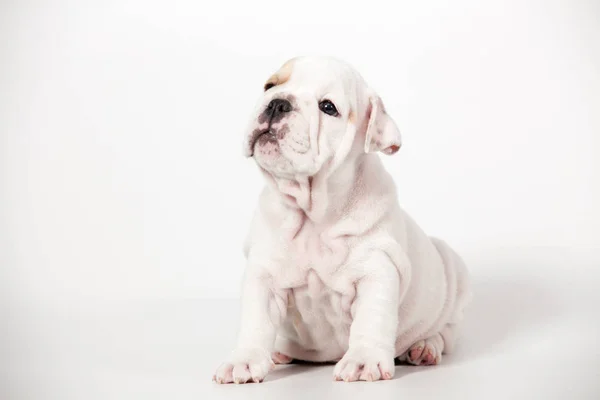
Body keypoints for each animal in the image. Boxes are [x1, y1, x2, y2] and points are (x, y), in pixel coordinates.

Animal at [213, 56, 472, 384]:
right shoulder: (263, 273)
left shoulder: (377, 270)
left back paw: (424, 346)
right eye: (269, 86)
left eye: (328, 107)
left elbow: (372, 319)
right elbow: (255, 321)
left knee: (445, 331)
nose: (278, 103)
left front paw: (363, 360)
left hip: (454, 274)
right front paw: (243, 361)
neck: (313, 214)